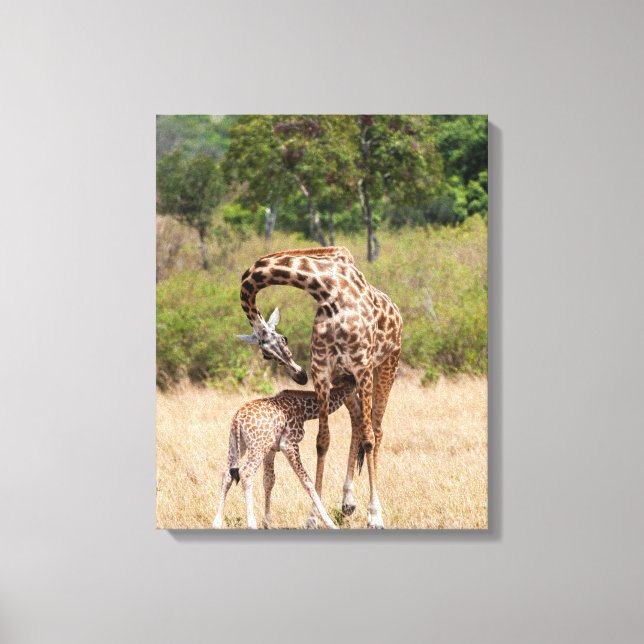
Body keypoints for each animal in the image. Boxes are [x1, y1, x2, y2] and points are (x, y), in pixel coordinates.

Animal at [212, 376, 356, 529]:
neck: (304, 410)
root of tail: (238, 418)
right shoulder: (289, 444)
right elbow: (307, 481)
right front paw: (330, 523)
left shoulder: (271, 449)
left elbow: (268, 481)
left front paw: (267, 522)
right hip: (257, 447)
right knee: (246, 473)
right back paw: (251, 523)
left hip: (236, 444)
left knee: (227, 474)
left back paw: (217, 522)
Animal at [237, 246, 402, 529]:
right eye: (266, 355)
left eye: (284, 339)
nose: (300, 375)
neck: (327, 290)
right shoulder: (324, 373)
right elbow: (322, 442)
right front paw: (313, 516)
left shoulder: (362, 367)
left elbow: (369, 439)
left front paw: (375, 516)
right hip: (344, 381)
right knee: (357, 423)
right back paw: (347, 502)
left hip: (386, 366)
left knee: (376, 430)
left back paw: (369, 507)